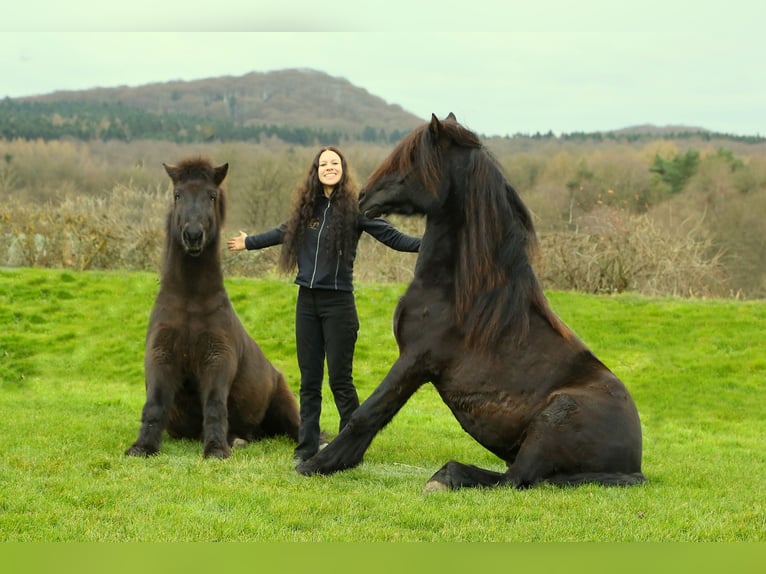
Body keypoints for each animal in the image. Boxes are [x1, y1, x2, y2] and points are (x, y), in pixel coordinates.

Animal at [126, 156, 300, 460]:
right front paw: (142, 447)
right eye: (178, 194)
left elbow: (215, 405)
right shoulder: (160, 356)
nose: (193, 235)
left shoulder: (218, 360)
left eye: (211, 195)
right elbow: (155, 404)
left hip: (285, 406)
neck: (190, 304)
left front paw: (216, 449)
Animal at [296, 113, 644, 490]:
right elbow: (375, 416)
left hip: (553, 420)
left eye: (412, 160)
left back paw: (445, 476)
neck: (459, 292)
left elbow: (367, 414)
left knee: (514, 479)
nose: (362, 197)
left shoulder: (415, 360)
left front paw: (316, 464)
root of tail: (635, 464)